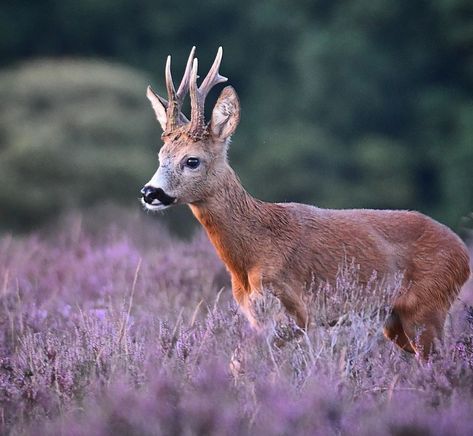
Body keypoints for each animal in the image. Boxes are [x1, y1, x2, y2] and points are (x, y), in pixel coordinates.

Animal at [140, 46, 468, 358]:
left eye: (192, 160)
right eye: (160, 156)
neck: (254, 250)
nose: (149, 192)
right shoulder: (256, 315)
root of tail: (463, 253)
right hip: (396, 321)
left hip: (426, 309)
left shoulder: (295, 311)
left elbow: (240, 361)